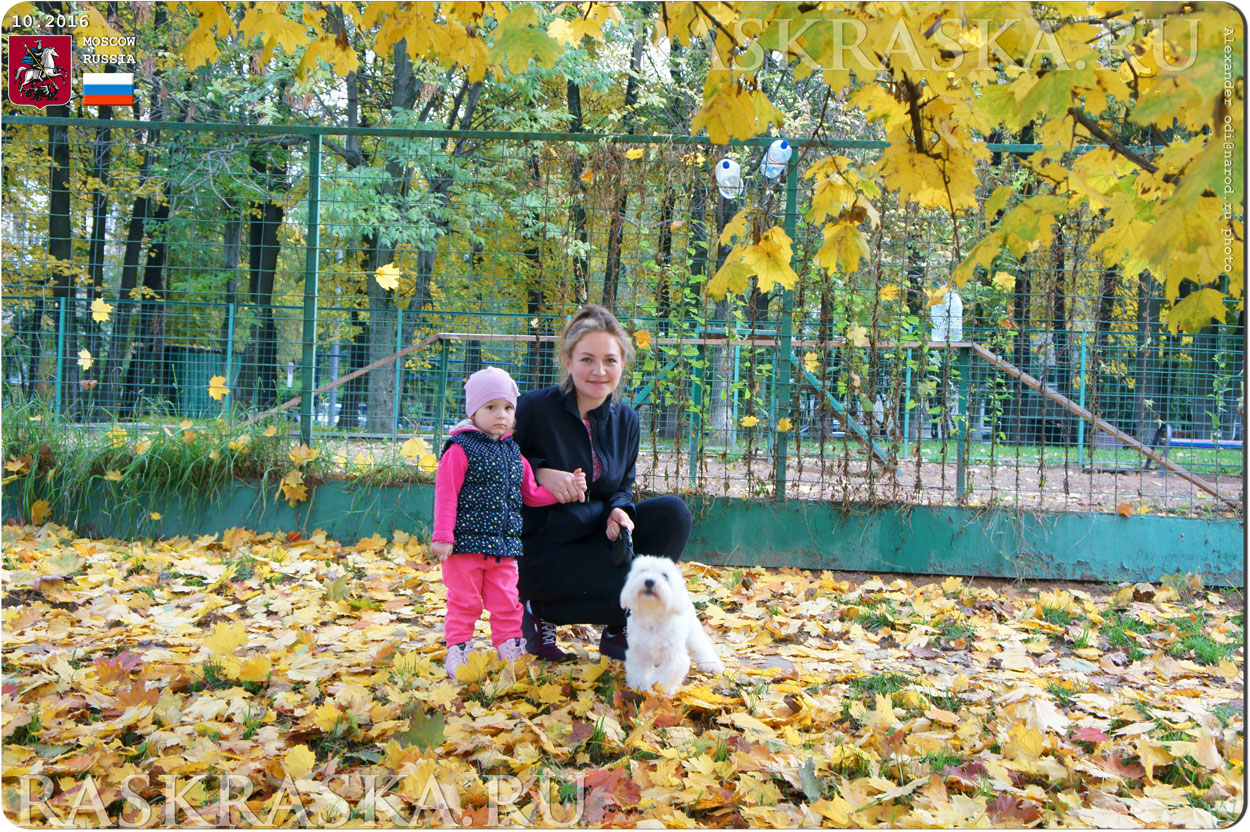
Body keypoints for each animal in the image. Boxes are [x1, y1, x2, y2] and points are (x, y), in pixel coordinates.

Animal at [620, 549, 730, 694]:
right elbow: (639, 673)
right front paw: (641, 688)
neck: (653, 615)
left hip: (693, 631)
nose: (649, 581)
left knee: (702, 646)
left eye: (665, 575)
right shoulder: (638, 653)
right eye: (643, 571)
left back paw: (712, 665)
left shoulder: (673, 657)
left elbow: (664, 676)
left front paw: (660, 691)